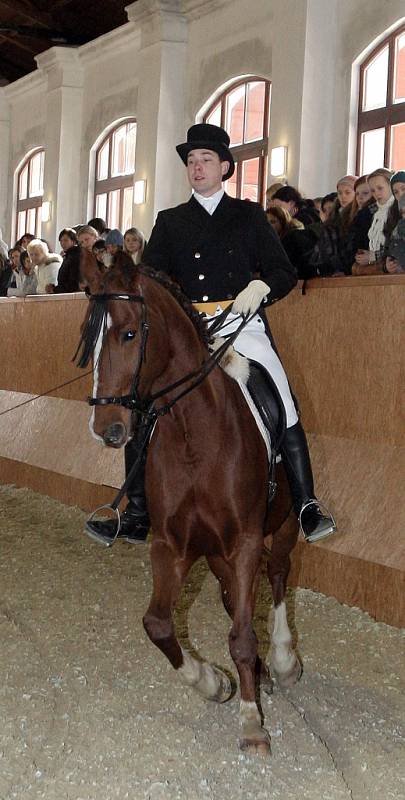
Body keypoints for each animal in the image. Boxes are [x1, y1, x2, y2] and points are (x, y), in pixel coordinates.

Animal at [77, 252, 302, 756]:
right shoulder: (171, 544)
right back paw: (259, 673)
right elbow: (158, 624)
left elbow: (242, 635)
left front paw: (252, 724)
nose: (106, 428)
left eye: (128, 333)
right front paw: (215, 683)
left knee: (279, 573)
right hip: (216, 554)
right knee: (232, 595)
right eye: (88, 339)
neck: (193, 434)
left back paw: (282, 660)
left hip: (283, 526)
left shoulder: (244, 541)